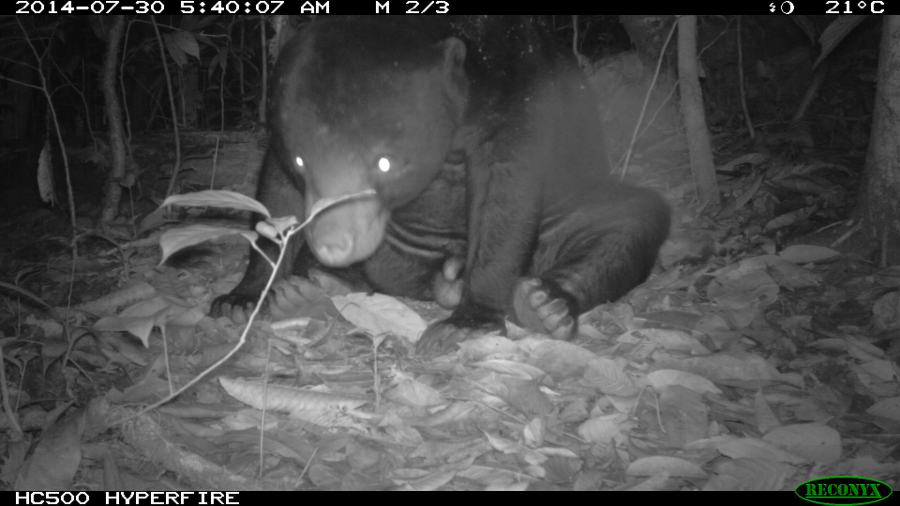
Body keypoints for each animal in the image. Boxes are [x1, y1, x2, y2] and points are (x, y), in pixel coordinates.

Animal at [211, 16, 671, 355]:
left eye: (385, 162)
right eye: (303, 161)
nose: (334, 245)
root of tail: (436, 284)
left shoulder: (516, 94)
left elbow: (505, 194)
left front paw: (466, 324)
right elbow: (276, 193)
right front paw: (242, 297)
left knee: (628, 218)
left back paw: (546, 306)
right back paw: (313, 289)